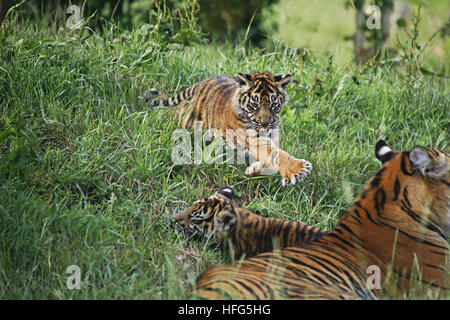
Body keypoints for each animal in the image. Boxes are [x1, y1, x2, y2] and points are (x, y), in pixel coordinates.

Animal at [148, 71, 312, 186]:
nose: (265, 124)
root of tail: (202, 82)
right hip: (188, 119)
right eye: (255, 104)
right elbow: (276, 154)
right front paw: (298, 169)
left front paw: (252, 170)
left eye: (274, 105)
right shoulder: (253, 138)